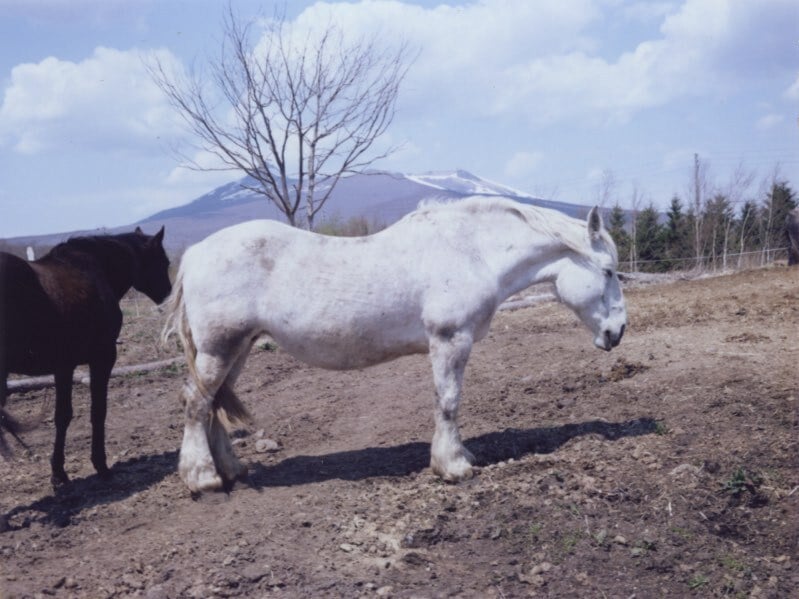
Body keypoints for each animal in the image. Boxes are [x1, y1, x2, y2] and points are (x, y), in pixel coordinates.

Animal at [0, 227, 172, 486]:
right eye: (164, 262)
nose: (168, 293)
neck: (94, 269)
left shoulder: (63, 366)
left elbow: (62, 416)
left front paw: (58, 472)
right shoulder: (103, 357)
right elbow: (98, 411)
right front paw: (101, 465)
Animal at [162, 197, 627, 493]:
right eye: (607, 271)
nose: (618, 331)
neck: (471, 251)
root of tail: (195, 253)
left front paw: (461, 455)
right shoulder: (450, 341)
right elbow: (448, 401)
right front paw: (453, 466)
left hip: (237, 349)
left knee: (212, 403)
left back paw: (231, 470)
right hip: (220, 349)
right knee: (195, 403)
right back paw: (203, 478)